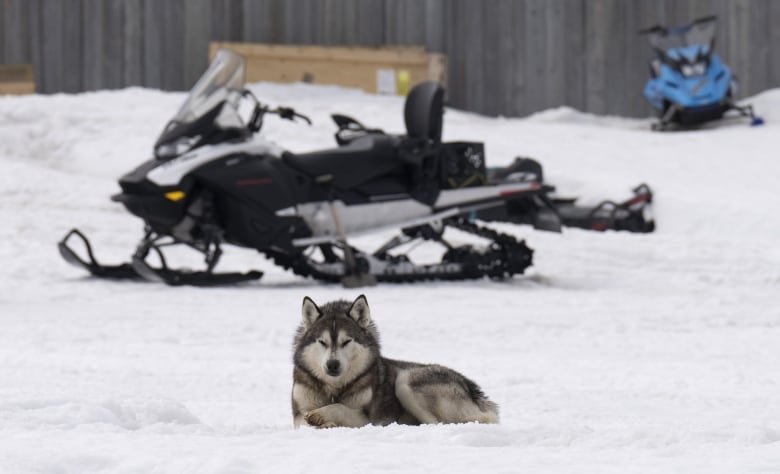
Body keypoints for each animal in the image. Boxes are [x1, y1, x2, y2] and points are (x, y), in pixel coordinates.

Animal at [290, 294, 496, 428]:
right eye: (322, 342)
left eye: (346, 341)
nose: (332, 364)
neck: (334, 389)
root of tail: (471, 388)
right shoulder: (299, 414)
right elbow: (305, 422)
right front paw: (324, 423)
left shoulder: (368, 419)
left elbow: (339, 407)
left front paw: (322, 416)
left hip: (406, 381)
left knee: (439, 423)